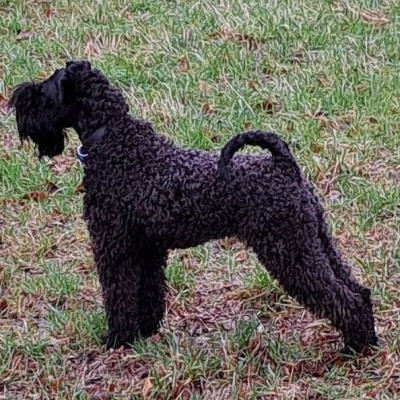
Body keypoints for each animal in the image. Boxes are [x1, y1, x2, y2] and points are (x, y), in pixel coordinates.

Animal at [10, 60, 378, 354]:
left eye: (42, 92)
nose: (16, 102)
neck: (114, 141)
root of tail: (284, 165)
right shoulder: (147, 248)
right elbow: (149, 291)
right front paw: (146, 331)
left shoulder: (113, 246)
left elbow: (119, 295)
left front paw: (118, 339)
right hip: (315, 239)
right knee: (357, 289)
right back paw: (368, 340)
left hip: (290, 250)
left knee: (340, 297)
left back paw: (355, 348)